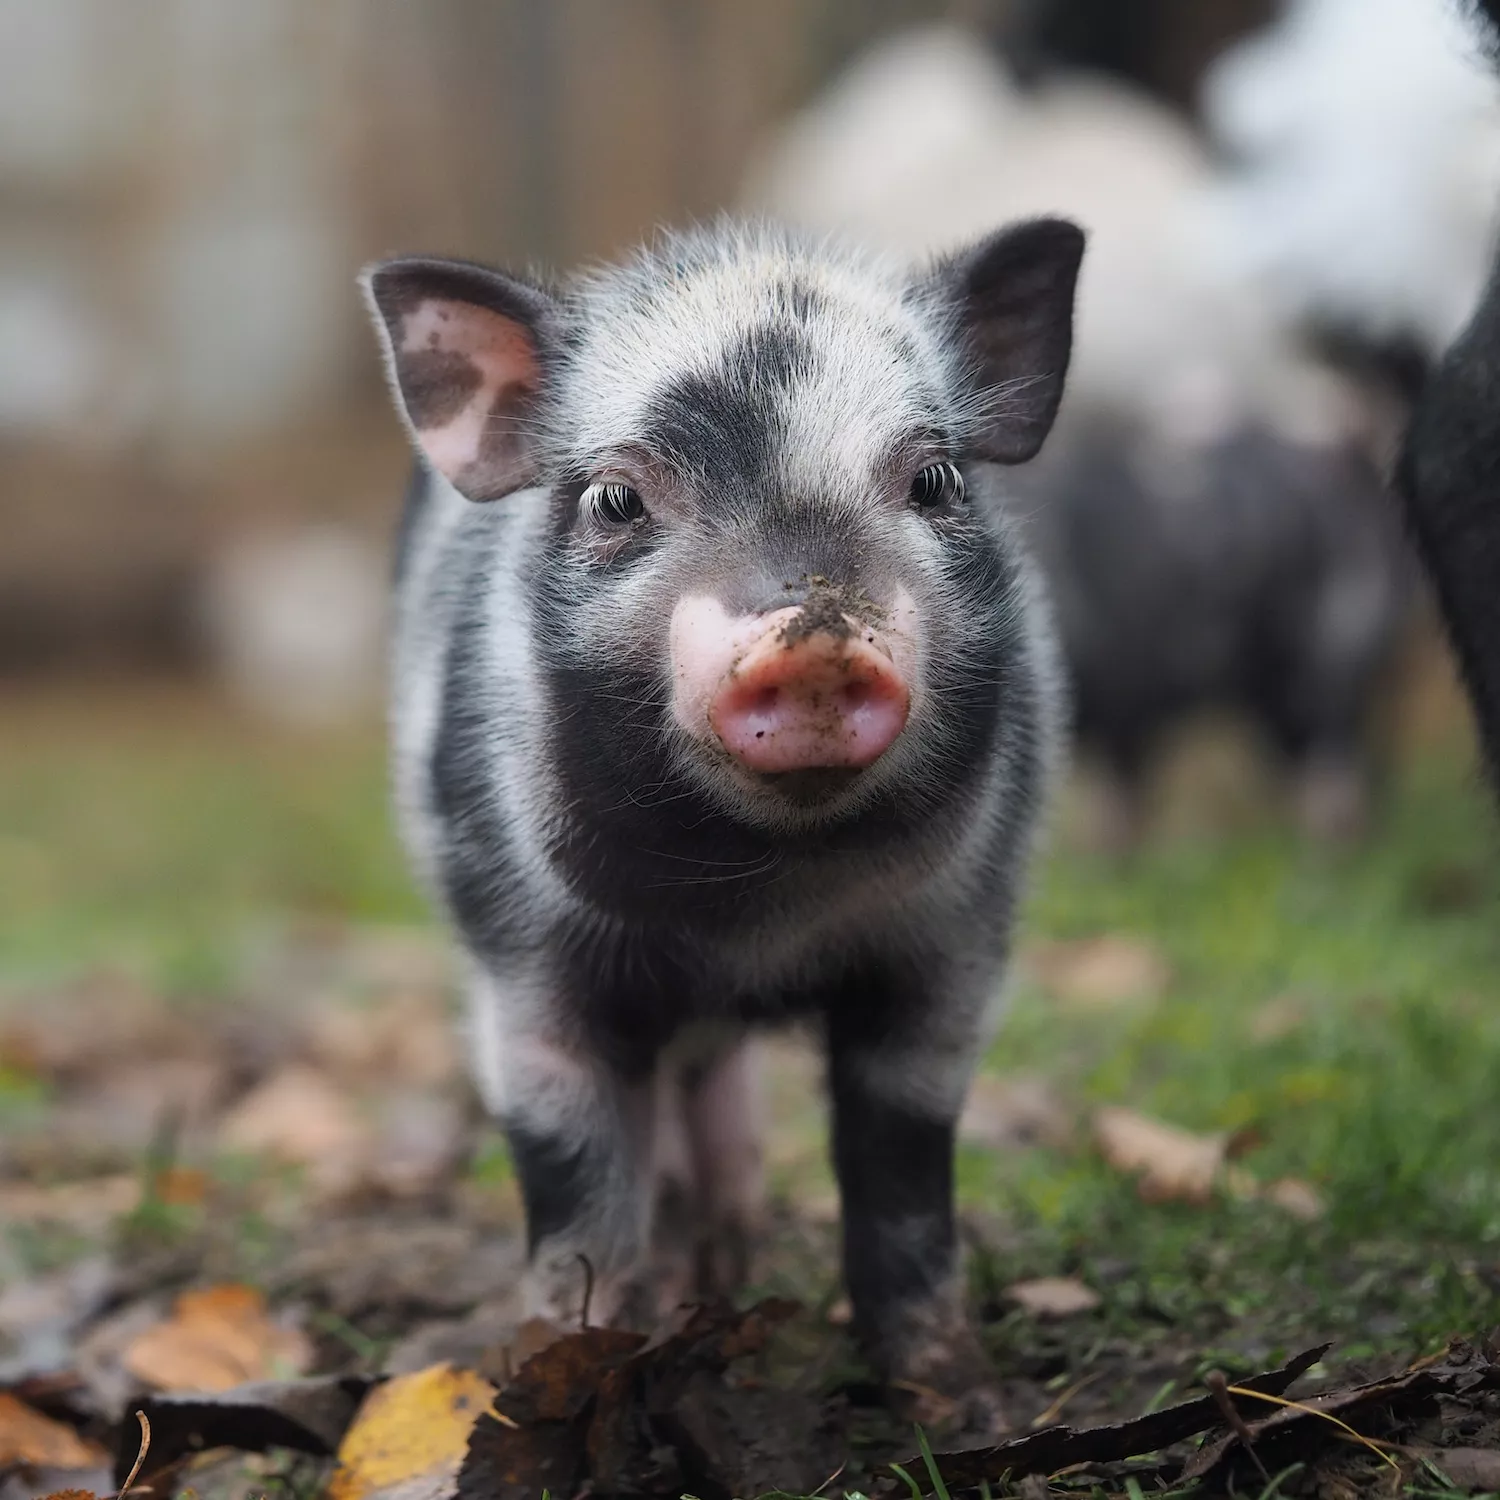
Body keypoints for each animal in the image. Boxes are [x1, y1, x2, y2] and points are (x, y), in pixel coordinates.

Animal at [363, 219, 1092, 1416]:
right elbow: (575, 1204)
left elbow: (903, 1175)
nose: (815, 637)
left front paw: (965, 1402)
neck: (755, 915)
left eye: (935, 480)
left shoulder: (950, 952)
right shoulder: (527, 973)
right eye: (616, 502)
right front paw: (558, 1381)